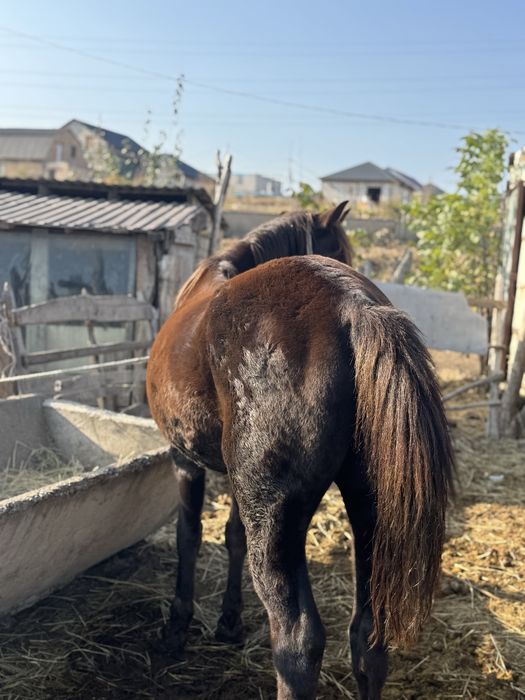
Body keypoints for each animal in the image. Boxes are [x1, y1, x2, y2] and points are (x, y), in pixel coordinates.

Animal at [146, 202, 454, 700]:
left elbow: (188, 535)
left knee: (298, 643)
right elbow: (232, 536)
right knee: (367, 636)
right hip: (369, 508)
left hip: (275, 521)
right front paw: (229, 622)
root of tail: (354, 307)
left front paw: (177, 626)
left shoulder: (184, 459)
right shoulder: (238, 485)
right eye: (341, 248)